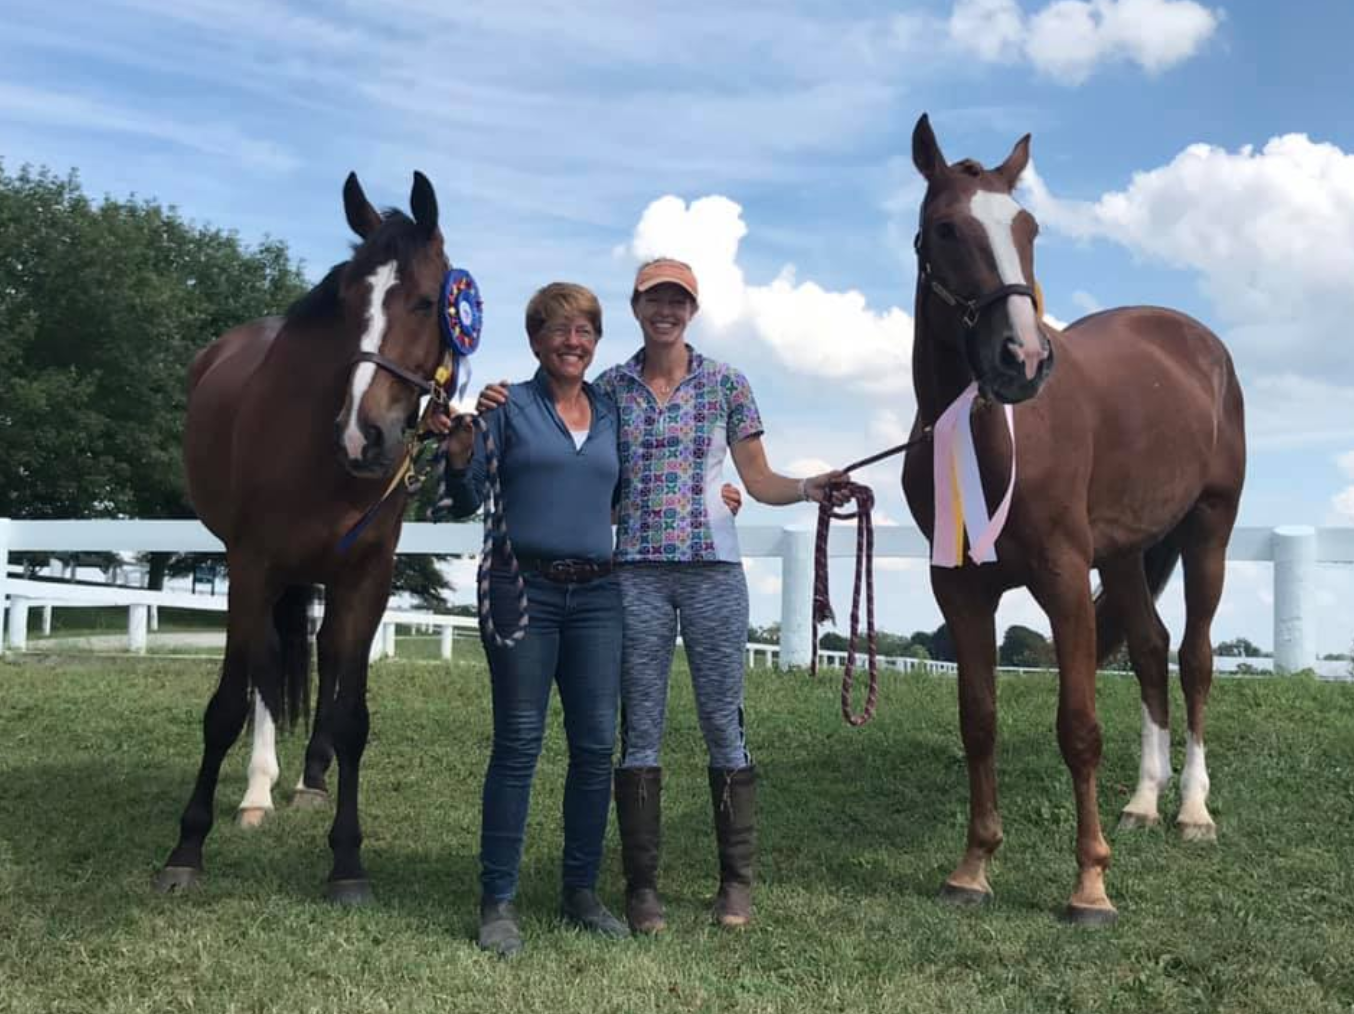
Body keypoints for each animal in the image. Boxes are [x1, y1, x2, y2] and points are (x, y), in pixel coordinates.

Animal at [151, 171, 452, 904]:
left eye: (428, 301)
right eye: (345, 301)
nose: (363, 435)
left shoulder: (367, 575)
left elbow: (352, 716)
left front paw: (347, 862)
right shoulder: (251, 565)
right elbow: (227, 704)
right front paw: (187, 848)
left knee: (320, 657)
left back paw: (311, 781)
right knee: (266, 666)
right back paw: (257, 790)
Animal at [904, 114, 1240, 920]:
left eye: (1027, 226)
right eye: (946, 229)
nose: (1022, 359)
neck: (987, 437)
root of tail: (1200, 344)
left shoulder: (1061, 579)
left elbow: (1079, 729)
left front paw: (1090, 882)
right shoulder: (959, 589)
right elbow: (979, 721)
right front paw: (973, 866)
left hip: (1209, 532)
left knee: (1195, 658)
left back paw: (1192, 810)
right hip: (1124, 555)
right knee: (1150, 650)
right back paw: (1144, 803)